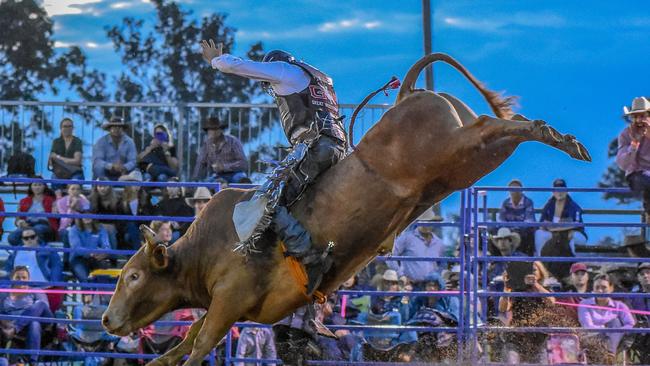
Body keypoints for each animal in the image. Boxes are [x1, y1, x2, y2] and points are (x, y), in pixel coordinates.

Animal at [100, 53, 588, 364]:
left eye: (134, 275)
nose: (105, 318)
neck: (208, 248)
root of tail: (408, 94)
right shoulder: (240, 309)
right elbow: (186, 341)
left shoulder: (229, 300)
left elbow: (199, 343)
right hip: (465, 165)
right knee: (501, 129)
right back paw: (561, 138)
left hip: (459, 148)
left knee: (497, 125)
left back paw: (561, 139)